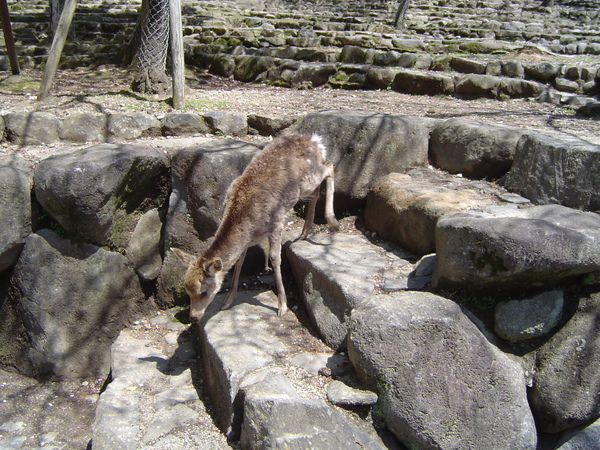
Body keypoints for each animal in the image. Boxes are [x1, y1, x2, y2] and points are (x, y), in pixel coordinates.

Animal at [175, 133, 342, 320]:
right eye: (187, 291)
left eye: (203, 292)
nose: (193, 317)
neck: (250, 226)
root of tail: (315, 141)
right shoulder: (248, 240)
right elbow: (239, 262)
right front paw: (228, 301)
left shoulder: (276, 222)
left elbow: (275, 259)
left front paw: (282, 306)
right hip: (307, 183)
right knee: (317, 188)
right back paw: (305, 232)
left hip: (307, 179)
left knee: (329, 166)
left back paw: (334, 222)